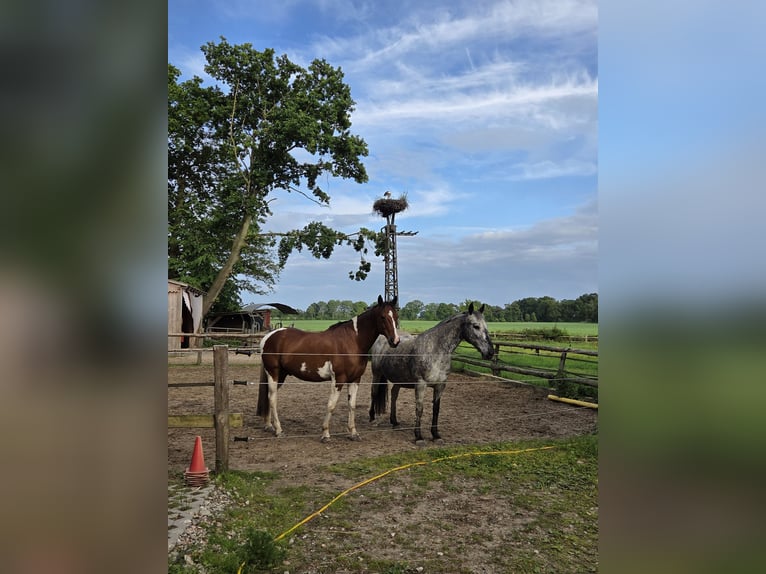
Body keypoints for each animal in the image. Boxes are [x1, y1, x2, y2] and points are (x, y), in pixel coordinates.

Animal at [257, 295, 400, 442]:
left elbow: (352, 405)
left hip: (281, 375)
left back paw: (269, 425)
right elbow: (331, 405)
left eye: (396, 316)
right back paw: (279, 430)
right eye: (383, 317)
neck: (353, 341)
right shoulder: (338, 379)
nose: (395, 341)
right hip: (273, 372)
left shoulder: (355, 379)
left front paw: (353, 433)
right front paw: (325, 434)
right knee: (272, 398)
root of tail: (269, 336)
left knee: (268, 397)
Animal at [369, 302, 494, 446]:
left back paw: (394, 422)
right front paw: (419, 437)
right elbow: (420, 409)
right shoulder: (421, 385)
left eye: (486, 326)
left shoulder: (440, 385)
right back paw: (372, 418)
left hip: (399, 379)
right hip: (377, 374)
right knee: (374, 392)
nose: (490, 352)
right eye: (475, 326)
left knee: (394, 394)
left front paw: (436, 435)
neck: (435, 350)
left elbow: (436, 409)